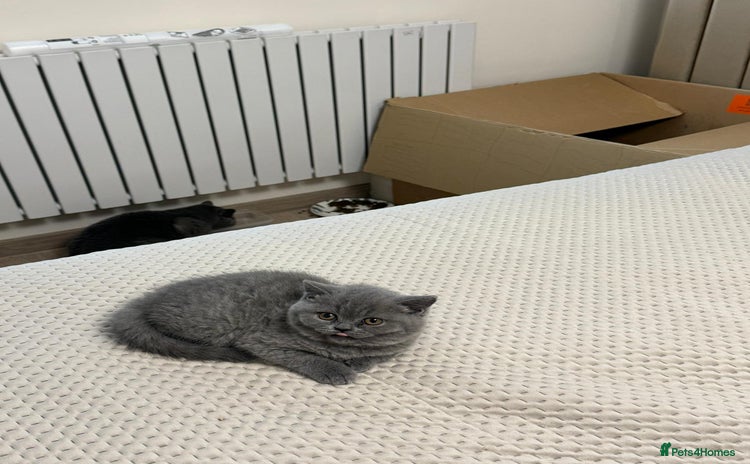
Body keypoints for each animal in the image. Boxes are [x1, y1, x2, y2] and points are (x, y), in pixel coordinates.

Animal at [108, 270, 437, 385]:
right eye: (327, 315)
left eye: (372, 321)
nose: (343, 328)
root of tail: (146, 300)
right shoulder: (262, 340)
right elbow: (304, 356)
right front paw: (336, 370)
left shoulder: (399, 344)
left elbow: (380, 354)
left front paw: (357, 362)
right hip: (215, 323)